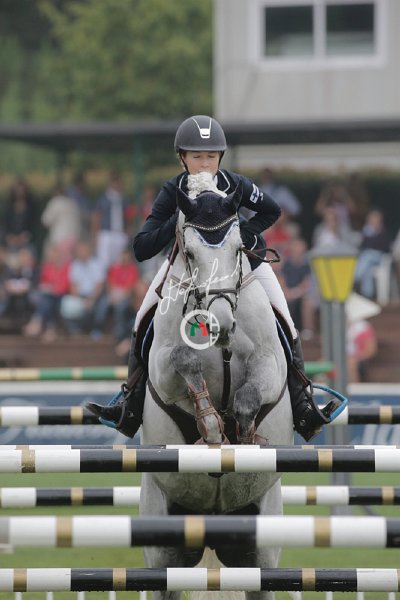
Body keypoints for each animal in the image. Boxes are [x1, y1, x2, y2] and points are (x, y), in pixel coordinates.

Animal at [140, 173, 293, 600]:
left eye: (239, 249)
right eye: (190, 254)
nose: (220, 325)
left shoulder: (270, 366)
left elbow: (250, 395)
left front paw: (245, 434)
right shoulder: (163, 370)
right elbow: (184, 360)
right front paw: (210, 425)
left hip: (260, 548)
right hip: (164, 546)